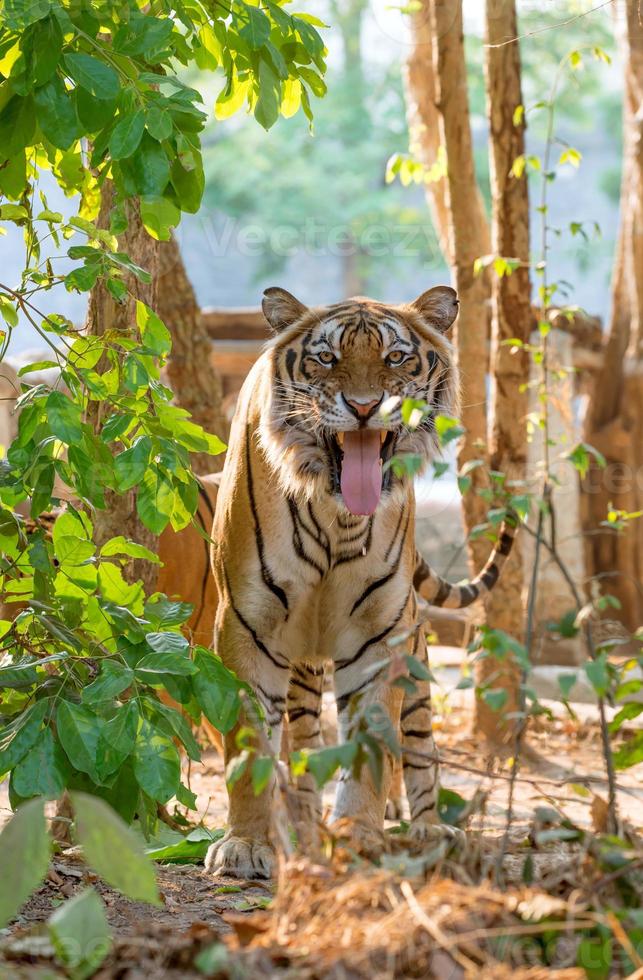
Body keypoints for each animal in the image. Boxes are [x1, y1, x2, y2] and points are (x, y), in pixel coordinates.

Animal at [206, 286, 520, 880]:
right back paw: (304, 819)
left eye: (395, 358)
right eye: (326, 358)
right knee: (304, 736)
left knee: (419, 745)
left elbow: (375, 747)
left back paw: (429, 828)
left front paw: (359, 835)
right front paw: (247, 845)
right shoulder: (249, 626)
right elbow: (251, 748)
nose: (364, 407)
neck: (337, 517)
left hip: (415, 648)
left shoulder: (381, 635)